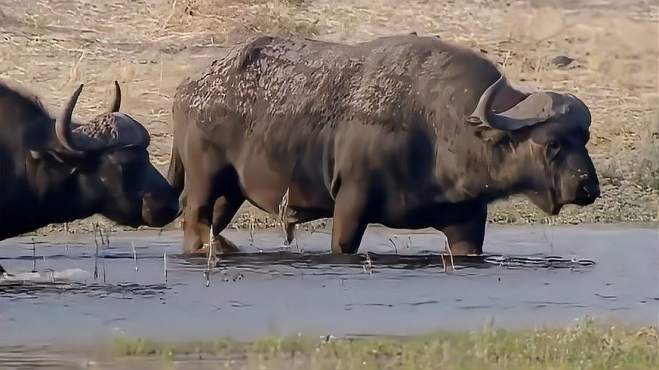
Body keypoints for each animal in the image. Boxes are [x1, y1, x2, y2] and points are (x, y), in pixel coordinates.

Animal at [168, 34, 600, 254]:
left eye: (584, 138)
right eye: (552, 143)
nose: (588, 188)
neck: (440, 128)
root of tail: (190, 87)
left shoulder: (467, 224)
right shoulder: (351, 202)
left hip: (231, 192)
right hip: (204, 182)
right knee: (194, 222)